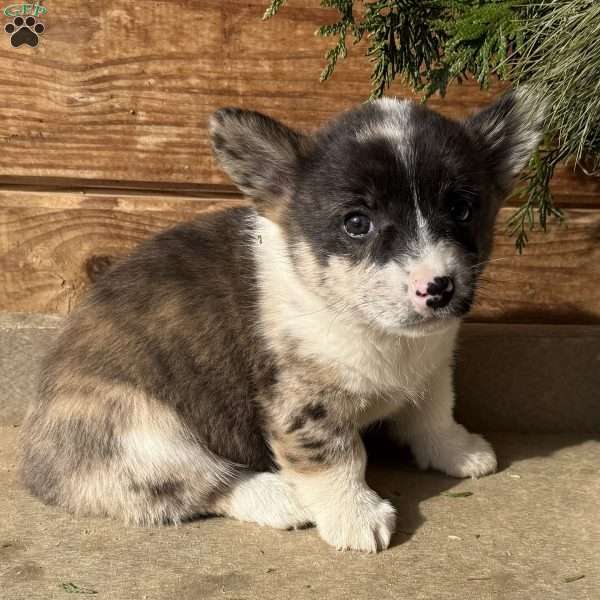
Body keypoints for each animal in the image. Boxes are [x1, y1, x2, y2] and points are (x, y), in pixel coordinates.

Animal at [21, 90, 540, 552]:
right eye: (357, 223)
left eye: (460, 209)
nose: (438, 288)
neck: (380, 334)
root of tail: (36, 464)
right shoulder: (304, 404)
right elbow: (338, 458)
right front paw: (355, 515)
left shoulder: (432, 369)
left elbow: (435, 414)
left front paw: (460, 451)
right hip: (146, 433)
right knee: (196, 484)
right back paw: (278, 498)